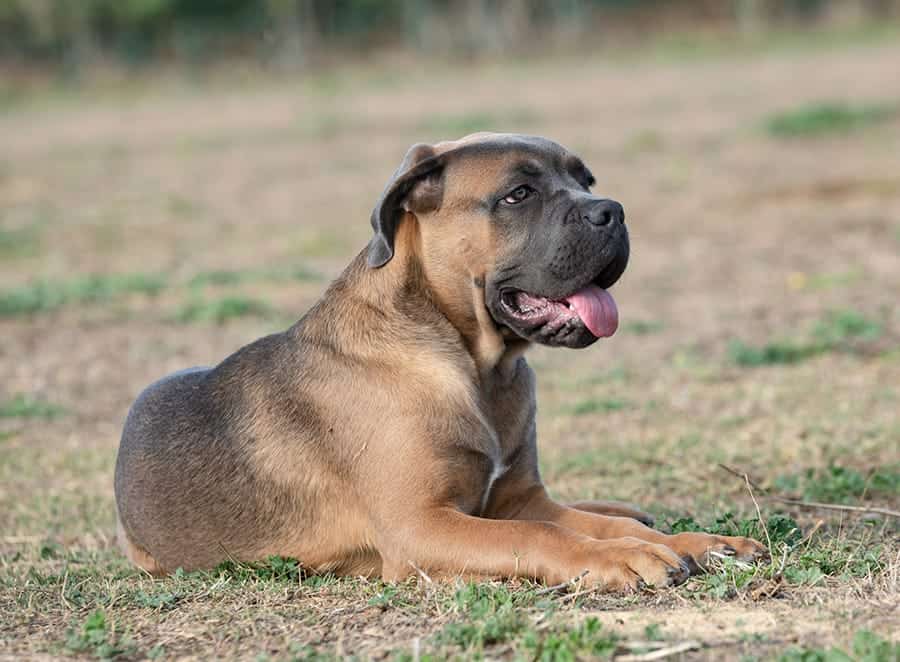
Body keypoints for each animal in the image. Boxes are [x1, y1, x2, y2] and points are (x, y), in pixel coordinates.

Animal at [114, 134, 768, 592]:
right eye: (518, 194)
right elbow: (546, 534)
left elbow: (591, 523)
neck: (478, 367)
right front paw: (623, 558)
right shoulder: (421, 527)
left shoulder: (518, 496)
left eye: (586, 180)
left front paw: (705, 542)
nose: (612, 210)